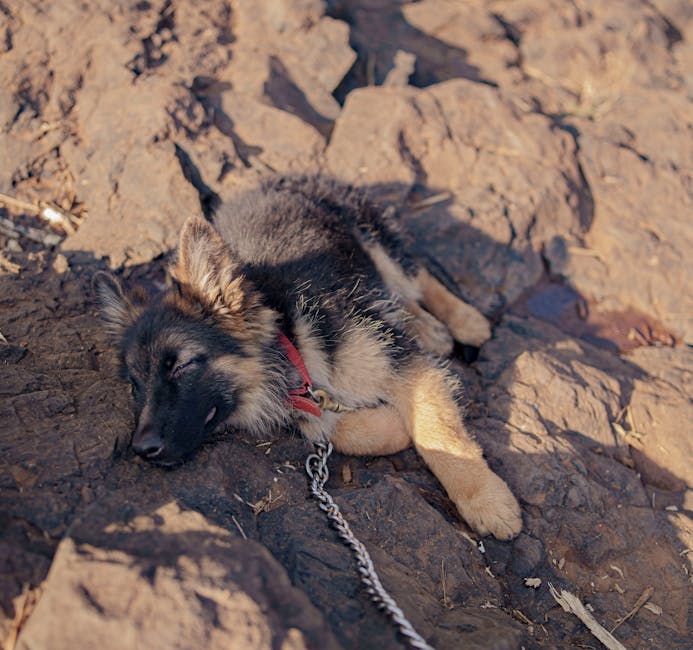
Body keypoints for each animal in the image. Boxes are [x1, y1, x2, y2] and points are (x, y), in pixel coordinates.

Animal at [96, 175, 520, 540]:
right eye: (135, 384)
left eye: (183, 365)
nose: (142, 449)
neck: (292, 342)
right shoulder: (311, 400)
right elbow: (329, 427)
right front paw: (389, 425)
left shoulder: (403, 365)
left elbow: (439, 433)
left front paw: (486, 501)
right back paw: (425, 327)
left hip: (370, 236)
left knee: (414, 274)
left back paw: (464, 321)